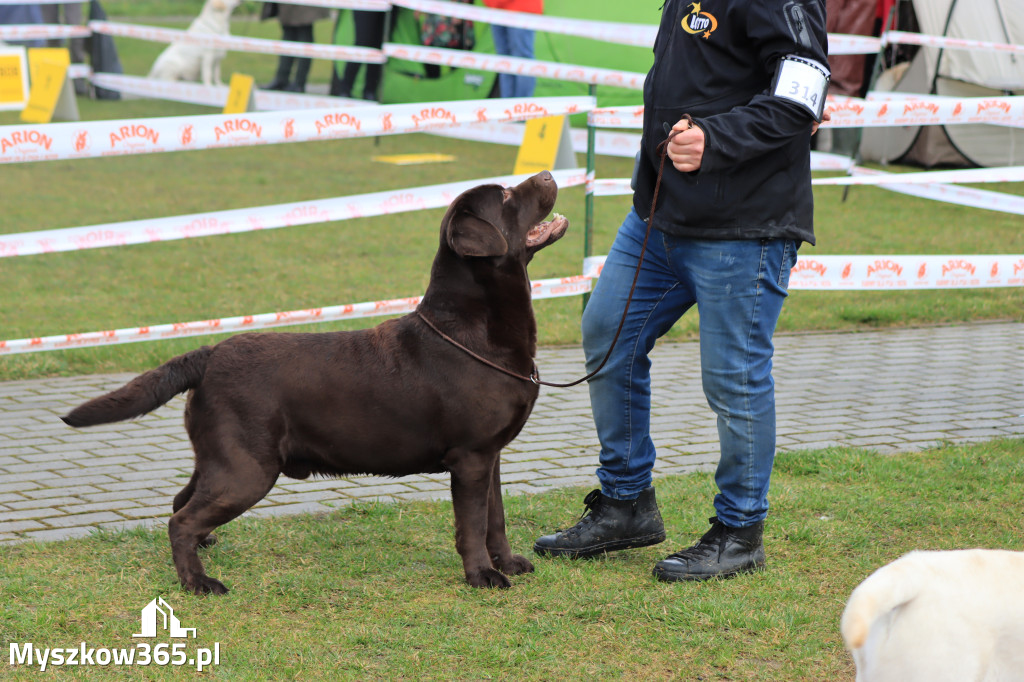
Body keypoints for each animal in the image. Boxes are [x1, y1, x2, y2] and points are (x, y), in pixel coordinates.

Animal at [61, 169, 569, 589]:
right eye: (506, 195)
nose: (547, 173)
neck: (474, 332)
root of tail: (209, 354)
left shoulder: (490, 456)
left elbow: (495, 518)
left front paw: (508, 563)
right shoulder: (471, 457)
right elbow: (472, 525)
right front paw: (482, 576)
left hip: (222, 458)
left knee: (181, 502)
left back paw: (205, 551)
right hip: (247, 468)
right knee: (181, 519)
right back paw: (198, 582)